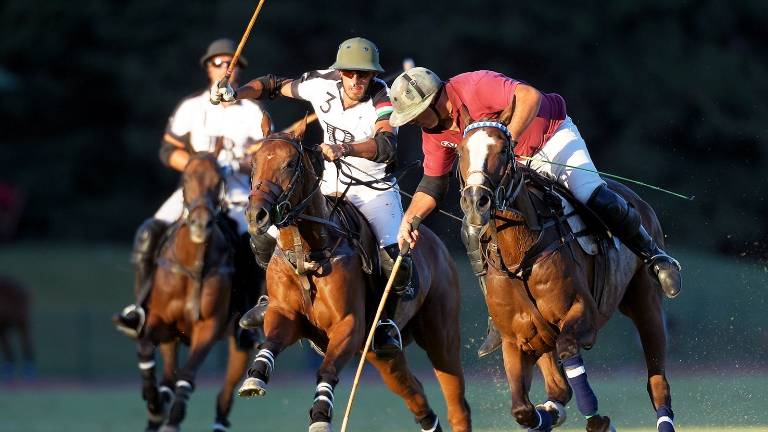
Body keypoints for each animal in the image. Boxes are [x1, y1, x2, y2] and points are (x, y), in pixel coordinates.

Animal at [138, 154, 255, 432]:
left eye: (219, 181)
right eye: (186, 179)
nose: (201, 224)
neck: (193, 262)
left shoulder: (209, 326)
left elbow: (188, 377)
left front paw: (172, 420)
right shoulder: (160, 320)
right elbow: (146, 349)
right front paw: (155, 406)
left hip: (240, 344)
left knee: (224, 397)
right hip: (170, 337)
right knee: (168, 378)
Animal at [237, 135, 472, 432]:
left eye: (290, 164)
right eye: (254, 163)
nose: (257, 214)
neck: (309, 253)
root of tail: (436, 244)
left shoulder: (348, 324)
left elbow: (327, 369)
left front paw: (320, 415)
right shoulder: (286, 315)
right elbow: (271, 341)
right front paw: (254, 377)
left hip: (441, 336)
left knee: (457, 404)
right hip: (381, 355)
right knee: (416, 393)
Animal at [460, 121, 676, 432]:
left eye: (502, 150)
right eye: (461, 151)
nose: (476, 201)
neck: (520, 258)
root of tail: (635, 197)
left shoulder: (582, 313)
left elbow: (568, 349)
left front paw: (599, 421)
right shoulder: (516, 339)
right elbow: (522, 408)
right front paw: (545, 416)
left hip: (647, 305)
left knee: (658, 383)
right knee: (558, 389)